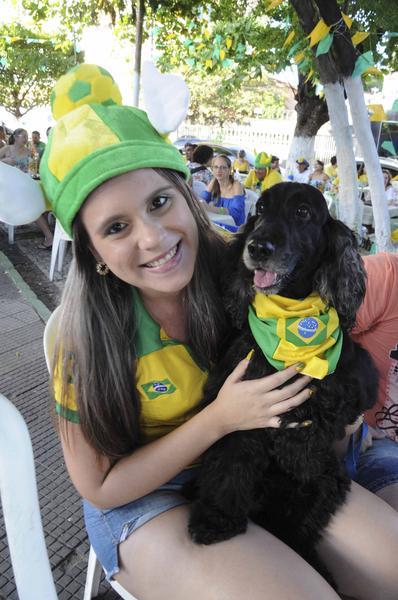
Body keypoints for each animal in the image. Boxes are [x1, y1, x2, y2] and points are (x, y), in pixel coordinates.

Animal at [187, 180, 380, 584]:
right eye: (259, 208)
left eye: (303, 212)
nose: (257, 247)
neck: (290, 320)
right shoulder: (238, 407)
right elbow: (231, 463)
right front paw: (215, 519)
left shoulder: (343, 387)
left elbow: (312, 421)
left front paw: (296, 449)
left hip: (324, 485)